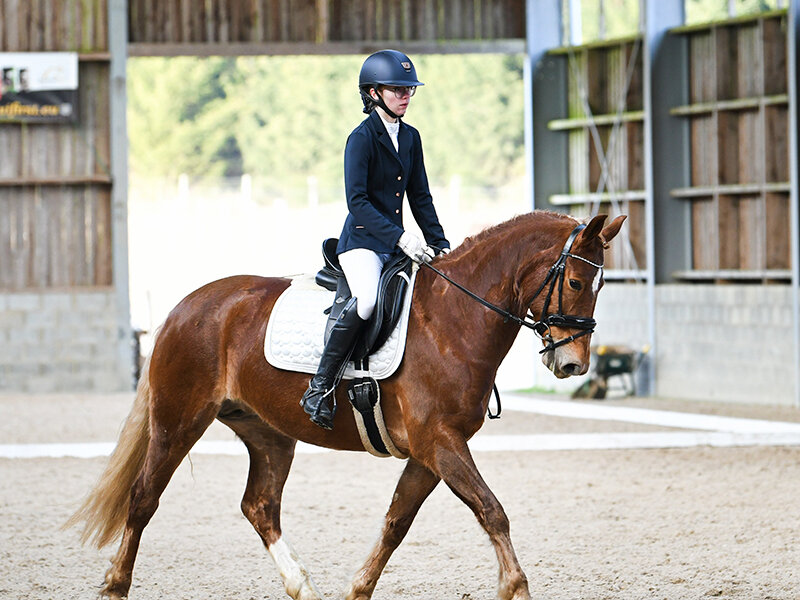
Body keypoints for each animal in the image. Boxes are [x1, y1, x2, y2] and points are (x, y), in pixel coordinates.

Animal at [70, 211, 624, 600]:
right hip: (178, 421)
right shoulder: (439, 442)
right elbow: (492, 511)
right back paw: (116, 586)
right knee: (143, 499)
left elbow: (396, 522)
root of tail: (186, 306)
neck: (455, 319)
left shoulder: (430, 452)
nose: (573, 364)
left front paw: (357, 589)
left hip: (269, 433)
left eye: (601, 286)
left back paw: (304, 587)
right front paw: (516, 587)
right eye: (576, 282)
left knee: (259, 506)